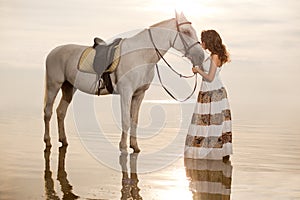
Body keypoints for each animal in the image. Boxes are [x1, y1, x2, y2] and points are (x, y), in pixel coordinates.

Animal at [43, 12, 205, 152]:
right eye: (186, 31)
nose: (201, 56)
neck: (141, 55)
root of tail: (53, 52)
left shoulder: (139, 94)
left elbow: (134, 120)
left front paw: (135, 147)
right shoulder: (126, 93)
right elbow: (126, 120)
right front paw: (123, 147)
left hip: (69, 87)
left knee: (61, 112)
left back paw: (63, 141)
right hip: (54, 85)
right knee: (48, 112)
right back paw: (48, 141)